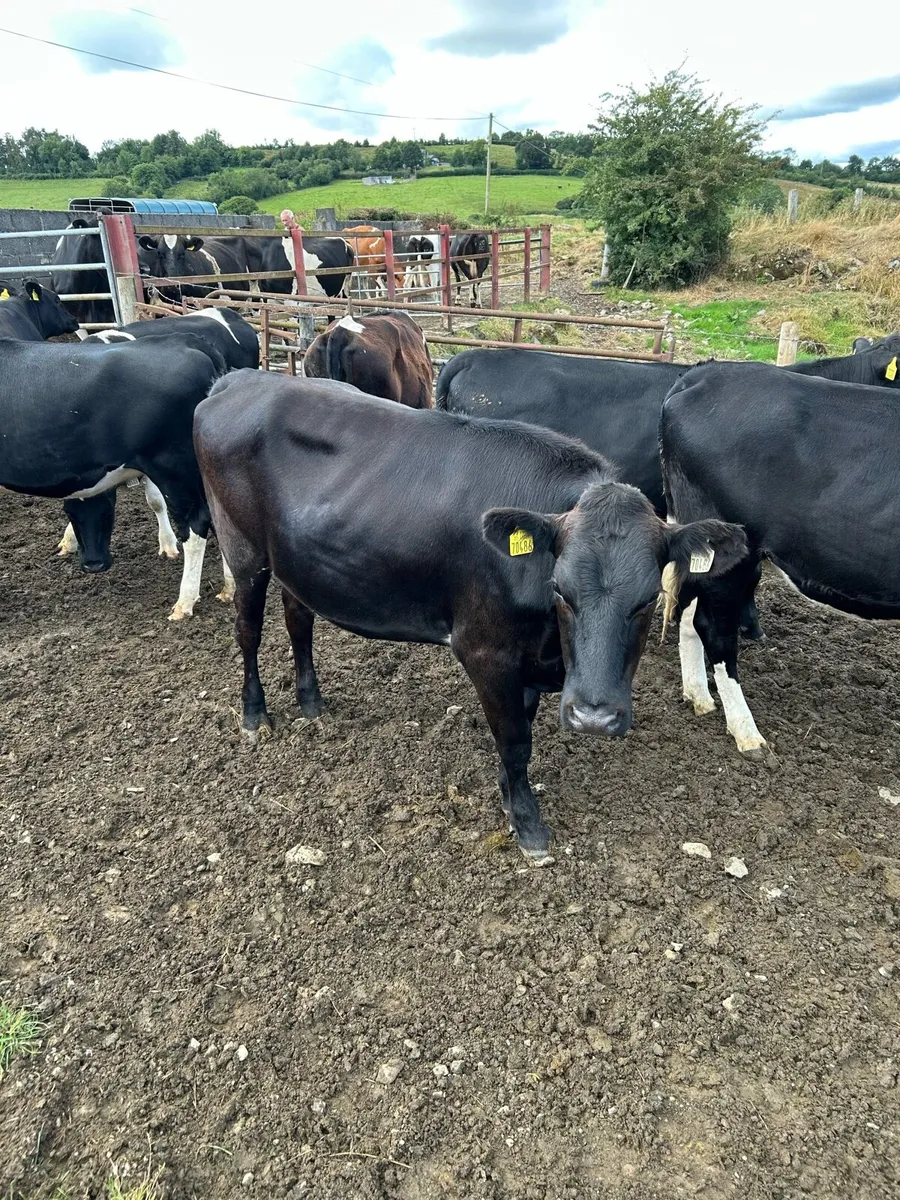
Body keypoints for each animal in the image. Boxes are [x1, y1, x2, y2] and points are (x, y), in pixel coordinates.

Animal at [0, 336, 227, 619]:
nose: (94, 565)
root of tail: (183, 341)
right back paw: (228, 590)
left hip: (173, 467)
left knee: (196, 524)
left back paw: (184, 602)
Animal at [194, 372, 747, 864]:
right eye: (561, 590)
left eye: (648, 598)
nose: (594, 717)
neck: (550, 645)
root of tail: (241, 381)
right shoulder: (485, 649)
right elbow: (515, 739)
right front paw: (527, 822)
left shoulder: (524, 658)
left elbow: (520, 728)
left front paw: (507, 794)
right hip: (242, 549)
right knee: (248, 630)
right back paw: (255, 714)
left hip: (298, 563)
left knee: (298, 621)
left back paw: (310, 701)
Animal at [659, 360, 900, 758]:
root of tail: (707, 371)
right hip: (732, 547)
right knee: (715, 629)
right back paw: (746, 733)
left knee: (690, 614)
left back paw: (699, 698)